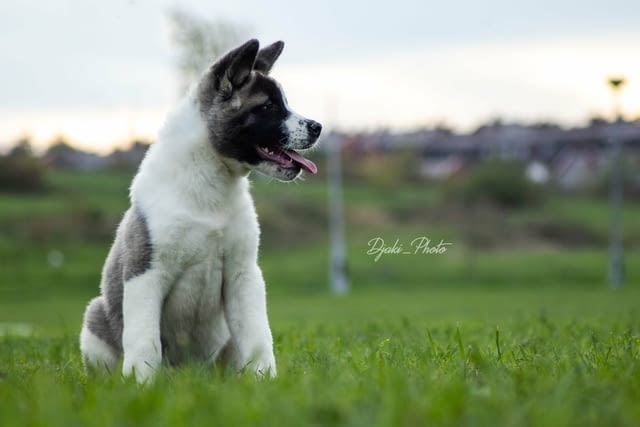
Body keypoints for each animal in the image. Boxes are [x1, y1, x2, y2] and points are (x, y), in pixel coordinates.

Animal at [79, 38, 320, 382]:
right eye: (267, 107)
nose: (317, 127)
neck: (212, 180)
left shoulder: (243, 275)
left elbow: (258, 337)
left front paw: (265, 380)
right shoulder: (145, 271)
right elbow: (145, 340)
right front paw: (141, 383)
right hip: (95, 315)